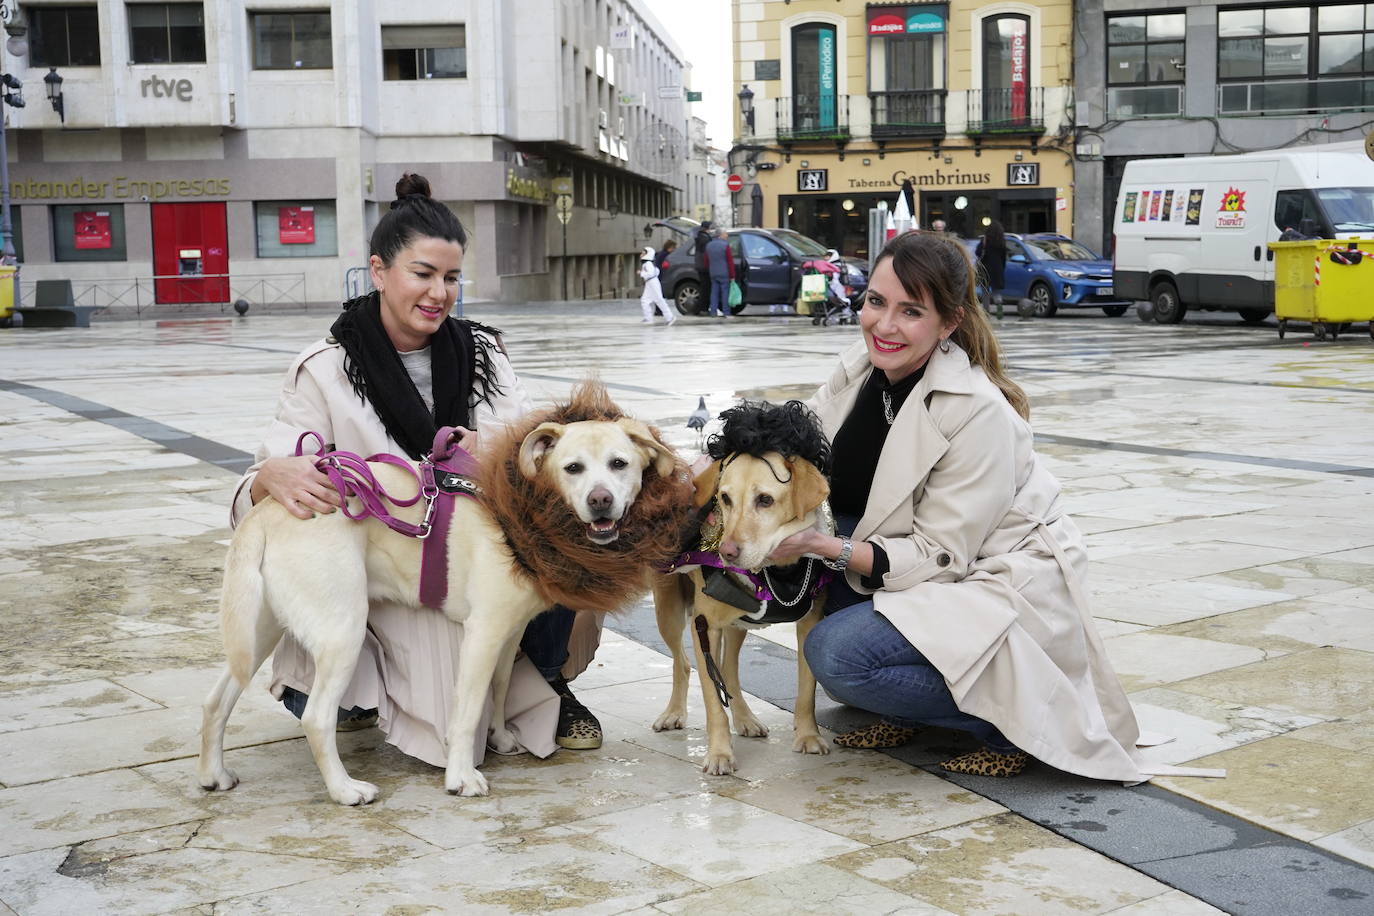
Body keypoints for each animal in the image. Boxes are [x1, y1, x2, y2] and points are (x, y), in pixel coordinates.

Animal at [648, 398, 829, 780]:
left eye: (765, 500)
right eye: (725, 498)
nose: (727, 552)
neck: (774, 573)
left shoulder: (810, 624)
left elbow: (807, 689)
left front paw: (808, 735)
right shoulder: (703, 627)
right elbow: (713, 704)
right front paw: (719, 754)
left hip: (739, 624)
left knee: (729, 670)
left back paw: (745, 718)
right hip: (669, 611)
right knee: (682, 663)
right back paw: (673, 713)